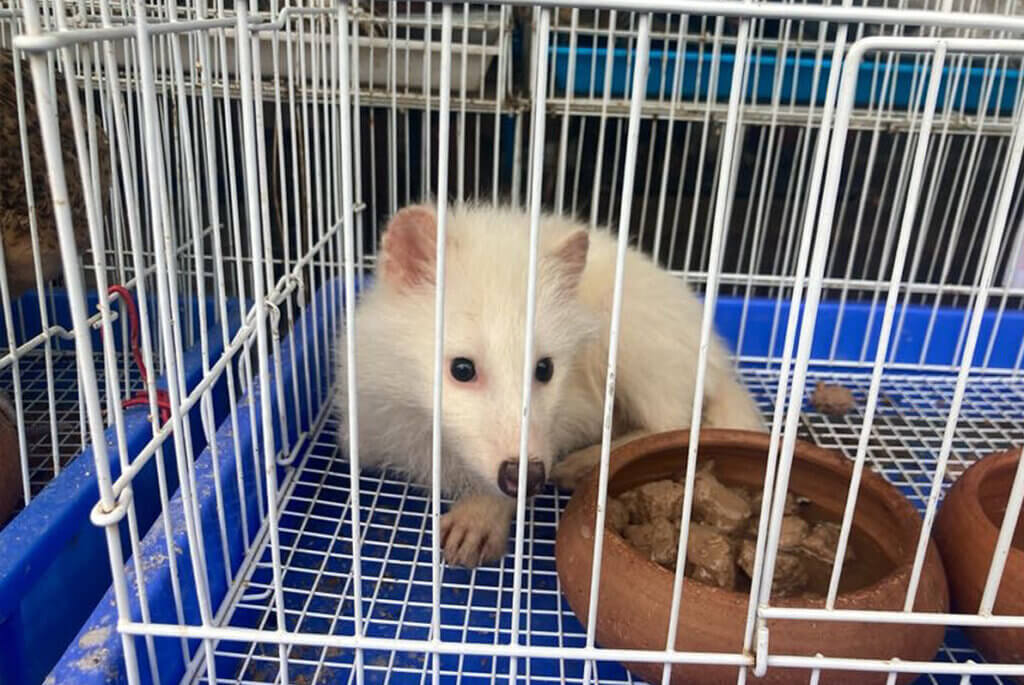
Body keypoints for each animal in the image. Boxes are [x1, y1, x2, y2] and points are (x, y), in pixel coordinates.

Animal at [335, 203, 765, 568]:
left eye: (545, 369)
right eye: (462, 368)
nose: (524, 476)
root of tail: (718, 359)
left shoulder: (576, 405)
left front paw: (480, 515)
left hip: (636, 336)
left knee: (674, 424)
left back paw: (585, 463)